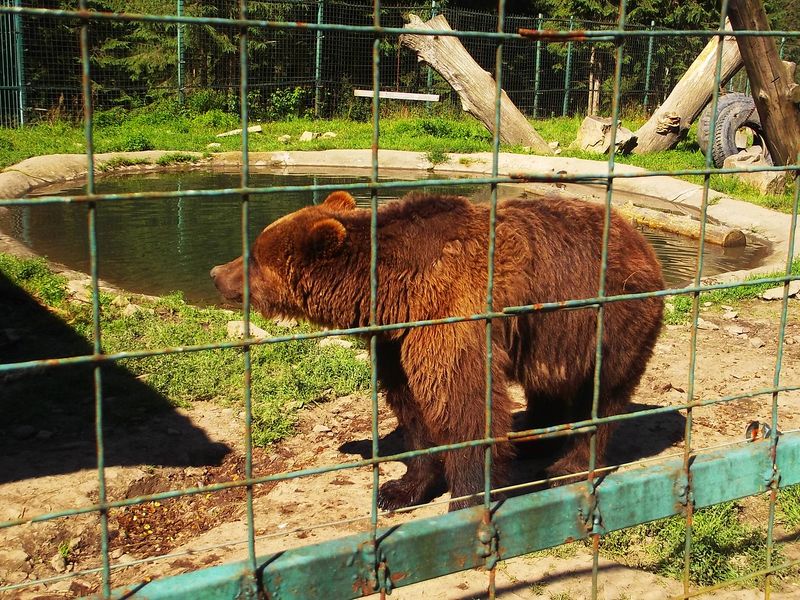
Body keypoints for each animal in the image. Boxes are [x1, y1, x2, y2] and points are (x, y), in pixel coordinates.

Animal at [210, 190, 664, 512]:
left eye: (254, 257)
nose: (215, 273)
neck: (393, 293)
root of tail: (642, 241)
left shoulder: (451, 318)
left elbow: (464, 405)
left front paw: (467, 498)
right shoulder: (397, 341)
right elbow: (413, 409)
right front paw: (399, 489)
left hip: (609, 320)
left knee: (601, 397)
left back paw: (566, 467)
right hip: (553, 334)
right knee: (549, 384)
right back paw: (535, 437)